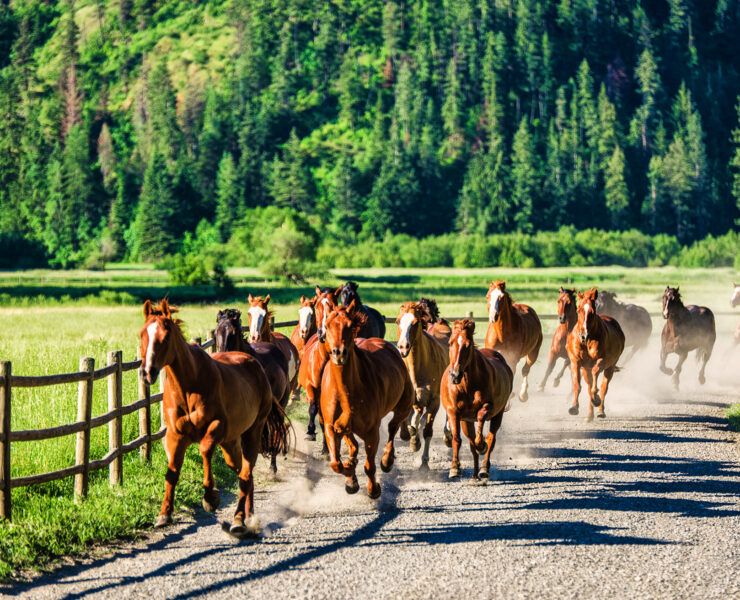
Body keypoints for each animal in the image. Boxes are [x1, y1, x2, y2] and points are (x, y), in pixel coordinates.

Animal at [320, 303, 414, 498]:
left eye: (350, 326)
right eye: (327, 325)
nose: (339, 353)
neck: (345, 392)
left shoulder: (371, 431)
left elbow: (369, 465)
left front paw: (373, 489)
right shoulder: (331, 426)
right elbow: (336, 462)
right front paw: (350, 476)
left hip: (404, 404)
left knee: (393, 427)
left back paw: (387, 460)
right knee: (354, 445)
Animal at [396, 301, 448, 468]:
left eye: (415, 322)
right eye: (397, 321)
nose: (403, 347)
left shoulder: (434, 401)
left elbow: (427, 431)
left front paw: (424, 462)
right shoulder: (412, 399)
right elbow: (412, 422)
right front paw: (414, 441)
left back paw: (448, 435)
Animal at [440, 319, 513, 481]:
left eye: (468, 345)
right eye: (450, 343)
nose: (455, 375)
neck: (466, 385)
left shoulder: (488, 406)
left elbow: (481, 420)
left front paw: (482, 445)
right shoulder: (454, 413)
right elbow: (457, 439)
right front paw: (455, 468)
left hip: (498, 414)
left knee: (491, 438)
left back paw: (484, 468)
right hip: (466, 421)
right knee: (471, 444)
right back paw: (474, 474)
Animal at [566, 289, 625, 420]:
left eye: (592, 312)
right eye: (579, 310)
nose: (583, 335)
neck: (587, 341)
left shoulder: (602, 361)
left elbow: (596, 379)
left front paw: (596, 399)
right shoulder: (575, 362)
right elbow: (578, 385)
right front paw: (574, 407)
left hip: (610, 367)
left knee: (604, 387)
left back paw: (600, 410)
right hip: (585, 369)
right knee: (589, 386)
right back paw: (589, 415)